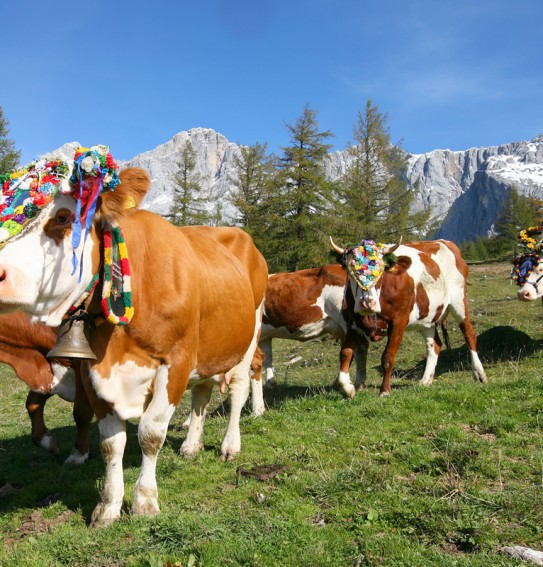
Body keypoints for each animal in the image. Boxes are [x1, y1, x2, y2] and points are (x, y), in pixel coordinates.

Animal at [332, 237, 488, 398]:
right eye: (351, 273)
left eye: (381, 272)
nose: (367, 303)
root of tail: (445, 242)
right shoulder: (352, 323)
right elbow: (345, 353)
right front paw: (347, 388)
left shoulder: (398, 322)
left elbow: (388, 357)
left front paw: (384, 390)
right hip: (427, 317)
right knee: (434, 345)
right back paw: (426, 380)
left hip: (459, 302)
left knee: (469, 334)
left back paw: (479, 373)